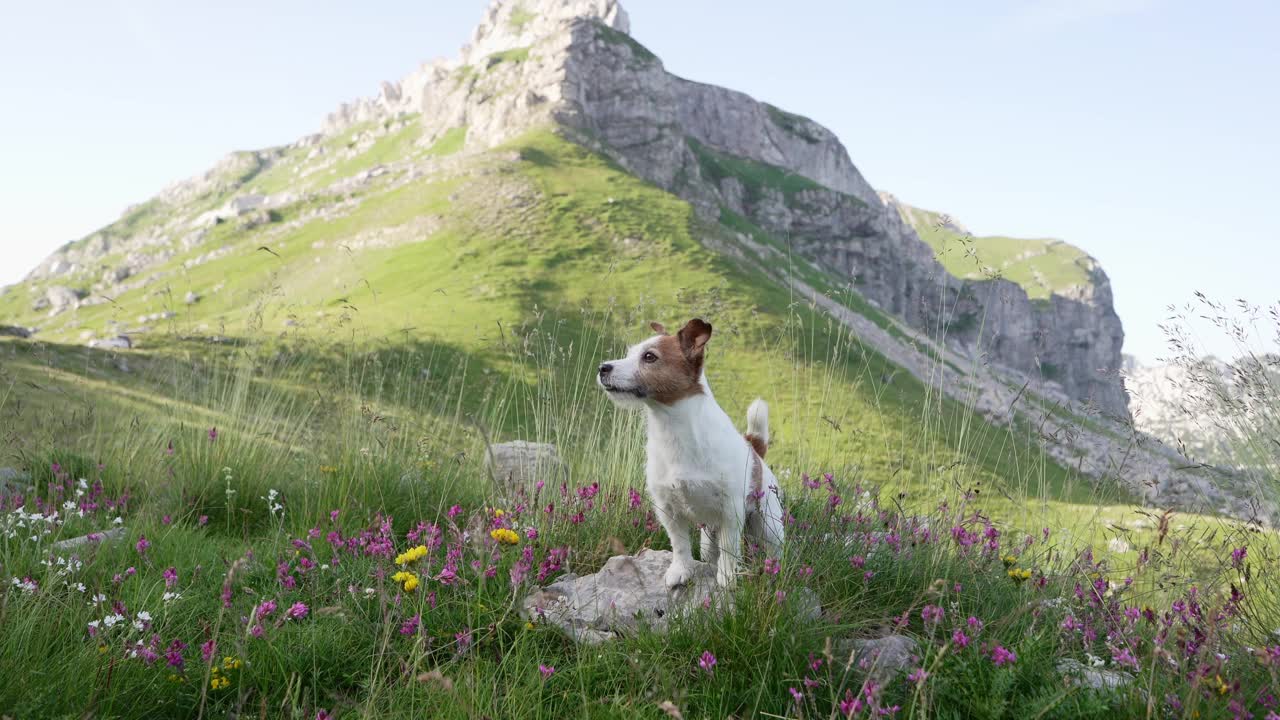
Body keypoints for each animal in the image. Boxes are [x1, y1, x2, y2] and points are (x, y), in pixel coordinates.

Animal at [596, 316, 783, 586]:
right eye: (629, 353)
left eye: (649, 357)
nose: (603, 368)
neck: (672, 428)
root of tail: (754, 449)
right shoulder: (668, 510)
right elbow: (680, 544)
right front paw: (681, 571)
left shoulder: (731, 511)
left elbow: (729, 550)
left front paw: (726, 580)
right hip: (709, 536)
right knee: (710, 553)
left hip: (770, 524)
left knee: (773, 550)